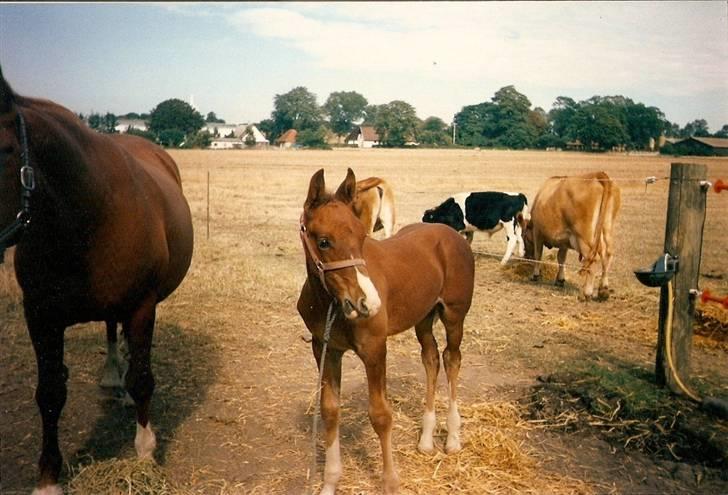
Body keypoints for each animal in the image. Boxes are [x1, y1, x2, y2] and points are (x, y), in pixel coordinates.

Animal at [0, 68, 193, 494]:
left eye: (5, 150)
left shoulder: (141, 307)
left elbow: (143, 379)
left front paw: (145, 453)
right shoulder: (40, 316)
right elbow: (50, 392)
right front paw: (48, 478)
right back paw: (110, 377)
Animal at [298, 169, 474, 494]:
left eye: (362, 236)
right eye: (324, 241)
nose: (369, 302)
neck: (331, 304)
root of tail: (450, 233)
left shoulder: (375, 349)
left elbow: (380, 415)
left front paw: (391, 482)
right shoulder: (325, 348)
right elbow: (330, 410)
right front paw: (330, 482)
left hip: (455, 316)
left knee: (452, 359)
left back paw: (453, 439)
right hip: (423, 317)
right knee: (431, 358)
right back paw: (426, 440)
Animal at [524, 170, 620, 302]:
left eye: (524, 237)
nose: (525, 256)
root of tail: (597, 175)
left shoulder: (538, 232)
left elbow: (538, 254)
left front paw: (535, 275)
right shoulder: (564, 240)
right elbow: (561, 258)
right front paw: (560, 280)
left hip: (584, 237)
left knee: (593, 259)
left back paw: (586, 293)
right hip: (607, 228)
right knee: (607, 254)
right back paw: (603, 290)